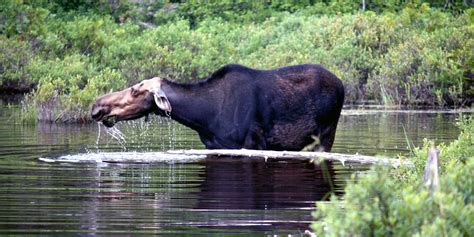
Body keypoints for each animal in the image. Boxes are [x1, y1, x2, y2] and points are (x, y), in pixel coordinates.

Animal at [91, 64, 344, 151]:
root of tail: (342, 84)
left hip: (326, 135)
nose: (97, 107)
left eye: (135, 90)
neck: (204, 118)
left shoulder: (252, 144)